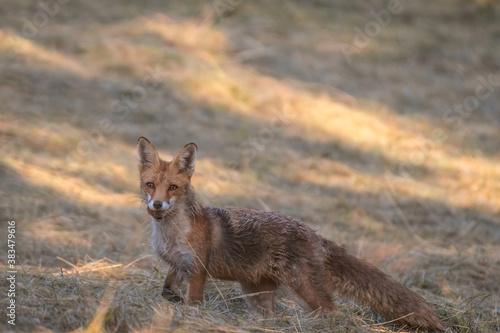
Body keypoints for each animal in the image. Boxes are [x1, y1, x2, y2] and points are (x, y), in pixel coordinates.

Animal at [137, 137, 446, 330]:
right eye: (150, 185)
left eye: (173, 188)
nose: (157, 204)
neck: (171, 233)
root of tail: (315, 235)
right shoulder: (178, 265)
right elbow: (166, 291)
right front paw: (172, 304)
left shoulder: (198, 270)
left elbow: (194, 301)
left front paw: (190, 315)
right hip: (256, 295)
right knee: (273, 314)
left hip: (305, 289)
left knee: (333, 311)